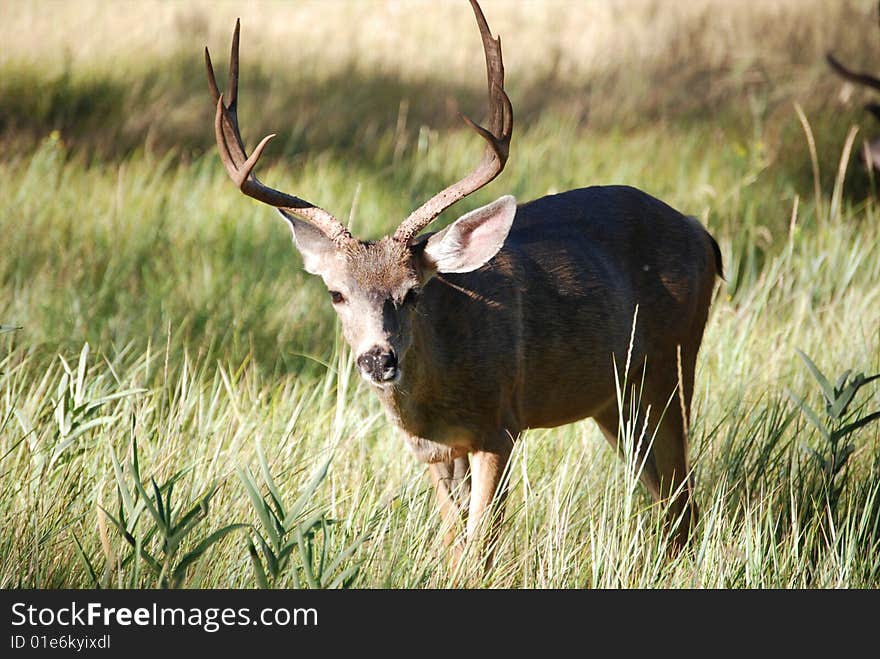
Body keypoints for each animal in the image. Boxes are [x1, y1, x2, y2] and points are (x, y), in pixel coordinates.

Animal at [205, 1, 720, 568]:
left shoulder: (500, 426)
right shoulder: (433, 451)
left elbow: (481, 544)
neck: (438, 394)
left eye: (413, 292)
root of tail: (703, 234)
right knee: (668, 497)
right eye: (336, 293)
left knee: (684, 495)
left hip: (672, 364)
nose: (378, 359)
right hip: (613, 399)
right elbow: (454, 543)